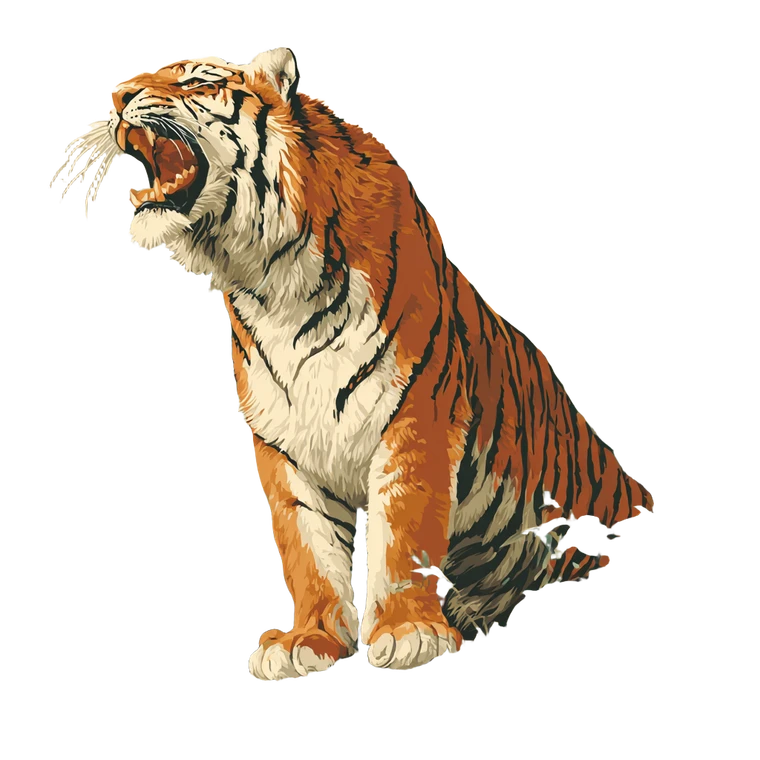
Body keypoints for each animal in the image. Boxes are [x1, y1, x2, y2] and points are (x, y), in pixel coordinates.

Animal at [50, 46, 655, 681]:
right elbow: (309, 549)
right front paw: (306, 641)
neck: (272, 279)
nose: (118, 97)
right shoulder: (285, 440)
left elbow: (402, 539)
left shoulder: (416, 421)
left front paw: (410, 633)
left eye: (197, 81)